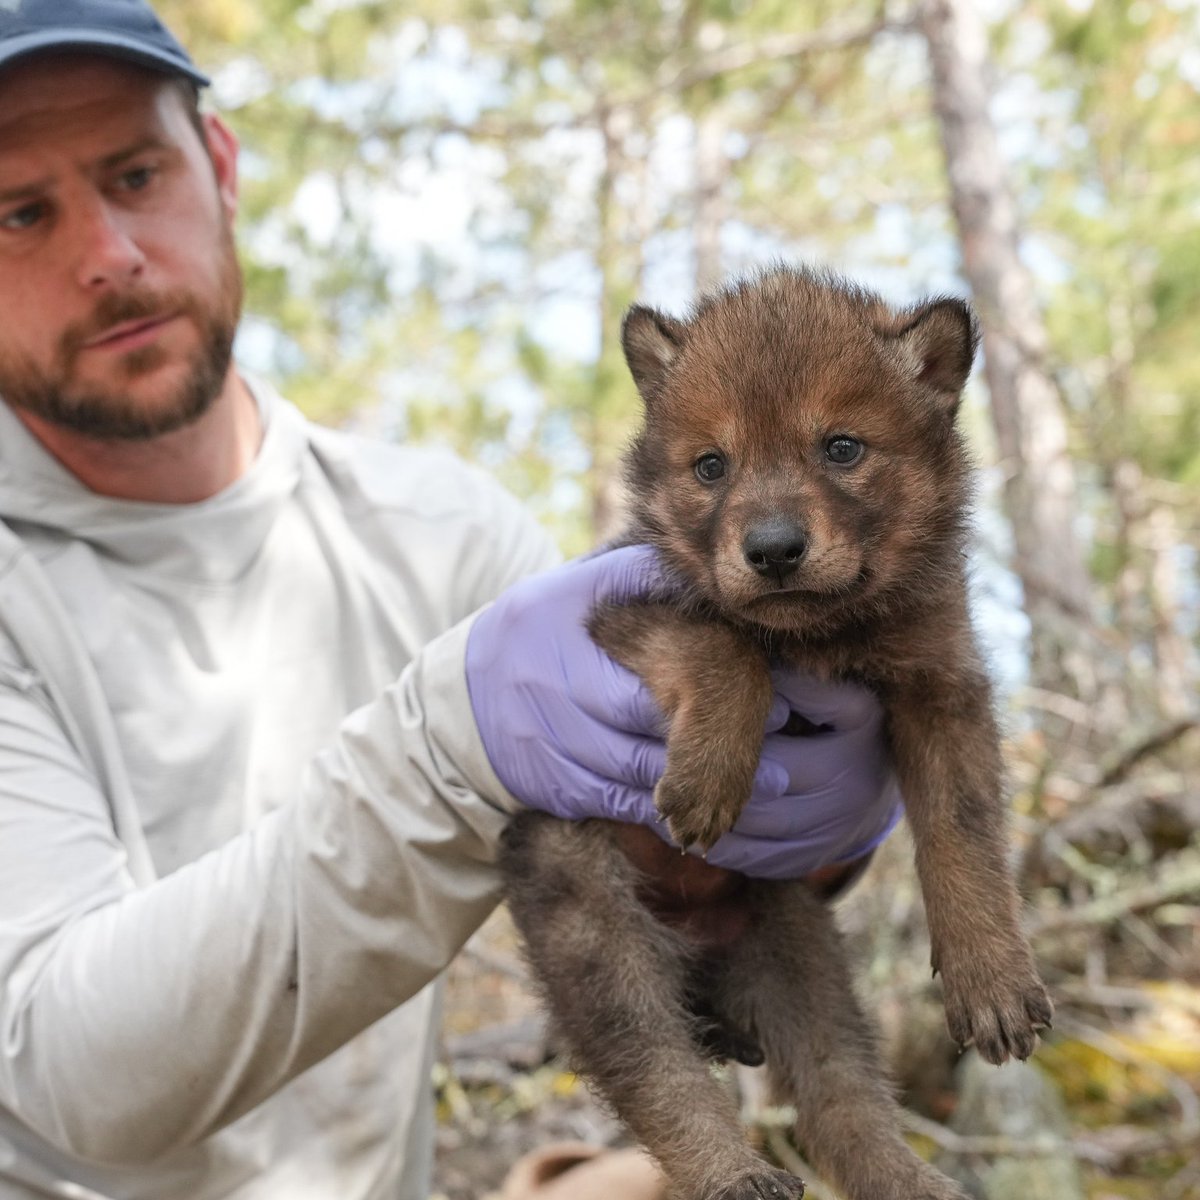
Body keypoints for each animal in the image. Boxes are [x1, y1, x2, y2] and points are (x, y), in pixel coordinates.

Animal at [501, 266, 1053, 1200]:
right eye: (710, 465)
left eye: (841, 448)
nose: (772, 550)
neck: (822, 636)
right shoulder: (614, 616)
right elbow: (725, 645)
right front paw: (709, 778)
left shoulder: (942, 685)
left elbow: (965, 834)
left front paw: (993, 974)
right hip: (584, 909)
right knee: (659, 1072)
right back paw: (732, 1173)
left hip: (794, 941)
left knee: (841, 1094)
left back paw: (907, 1180)